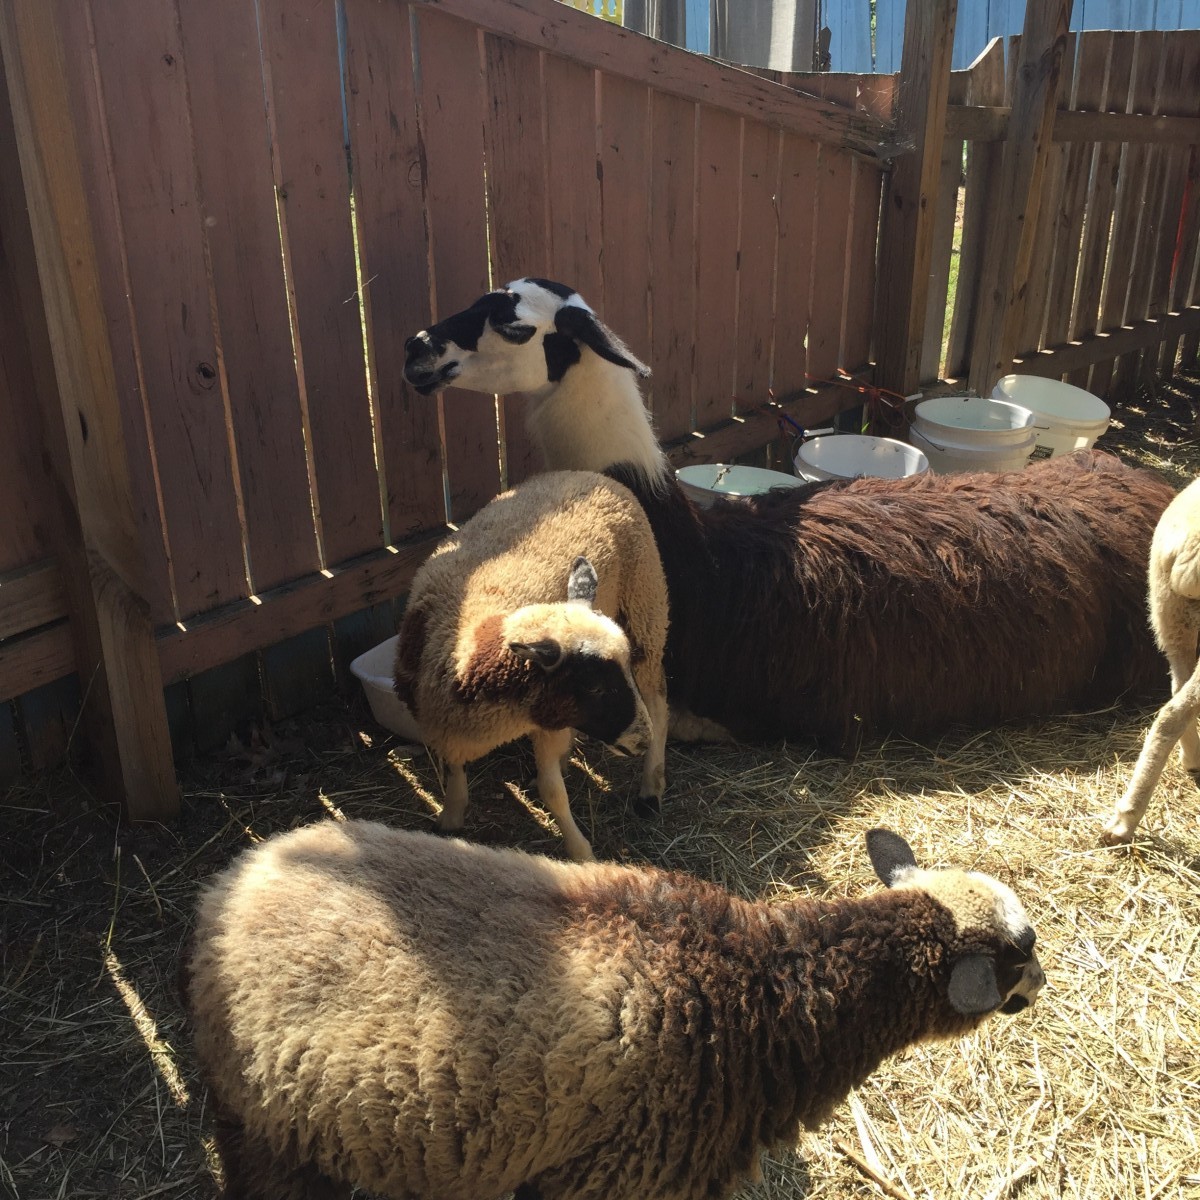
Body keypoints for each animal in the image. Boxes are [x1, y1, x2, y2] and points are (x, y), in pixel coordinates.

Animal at [182, 820, 1046, 1200]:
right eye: (1021, 949)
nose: (1043, 982)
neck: (766, 983)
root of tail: (231, 885)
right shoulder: (616, 1176)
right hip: (267, 1132)